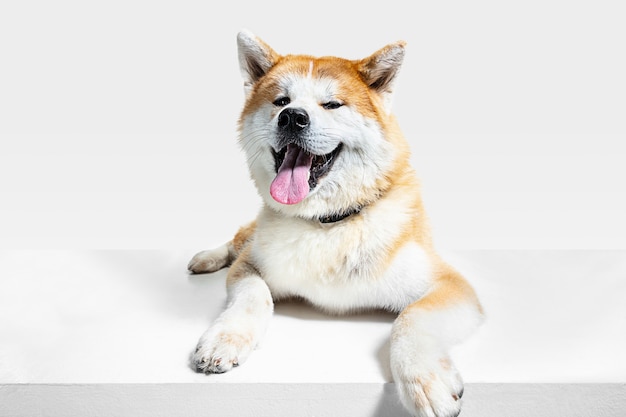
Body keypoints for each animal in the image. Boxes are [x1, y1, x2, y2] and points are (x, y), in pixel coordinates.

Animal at [186, 30, 482, 416]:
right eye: (281, 101)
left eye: (332, 105)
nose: (292, 117)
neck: (328, 223)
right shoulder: (250, 265)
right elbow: (254, 295)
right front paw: (224, 339)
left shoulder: (450, 286)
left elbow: (410, 318)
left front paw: (424, 380)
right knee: (237, 240)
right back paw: (206, 258)